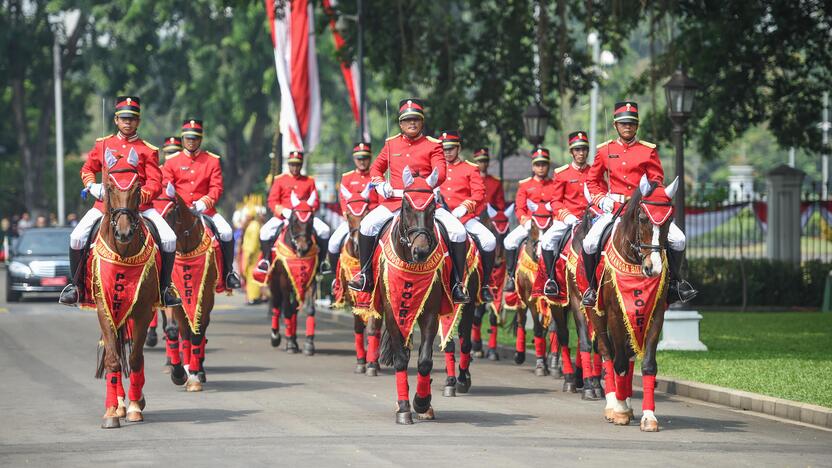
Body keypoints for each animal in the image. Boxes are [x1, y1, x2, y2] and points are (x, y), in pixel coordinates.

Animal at [162, 185, 218, 394]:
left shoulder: (205, 295)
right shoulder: (171, 295)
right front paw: (179, 373)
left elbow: (198, 332)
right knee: (184, 332)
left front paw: (194, 374)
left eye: (170, 211)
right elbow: (172, 330)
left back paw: (198, 369)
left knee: (198, 330)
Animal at [334, 185, 384, 374]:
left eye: (366, 212)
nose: (357, 244)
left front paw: (371, 364)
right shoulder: (353, 297)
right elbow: (357, 328)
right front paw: (361, 361)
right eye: (348, 214)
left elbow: (373, 328)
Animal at [580, 176, 680, 432]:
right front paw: (620, 410)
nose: (653, 268)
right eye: (643, 218)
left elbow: (647, 364)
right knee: (608, 353)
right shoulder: (616, 314)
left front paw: (648, 416)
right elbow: (619, 362)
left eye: (669, 220)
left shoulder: (655, 314)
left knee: (628, 353)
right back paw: (613, 403)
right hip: (595, 312)